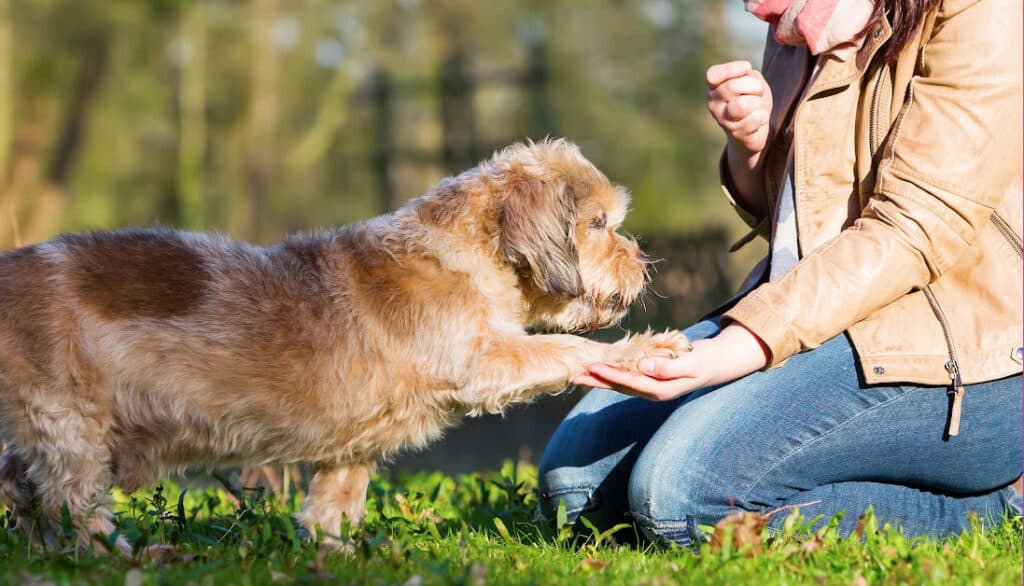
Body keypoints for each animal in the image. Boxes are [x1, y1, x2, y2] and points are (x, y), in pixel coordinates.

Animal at [2, 139, 688, 553]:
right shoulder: (485, 360)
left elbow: (335, 504)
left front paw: (336, 551)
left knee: (20, 483)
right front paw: (646, 348)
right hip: (72, 426)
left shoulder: (352, 449)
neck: (467, 255)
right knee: (71, 504)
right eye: (599, 225)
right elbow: (564, 353)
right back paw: (114, 556)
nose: (645, 266)